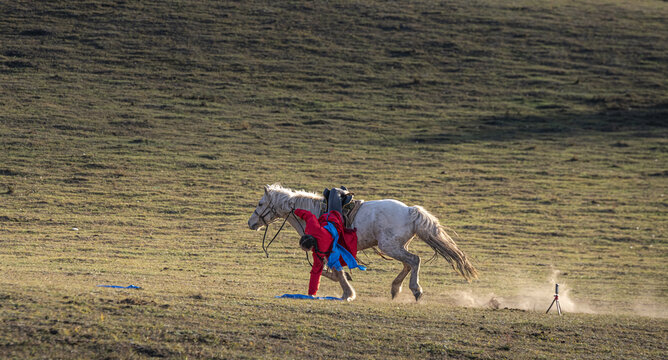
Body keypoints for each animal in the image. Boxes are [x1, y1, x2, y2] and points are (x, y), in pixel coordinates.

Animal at [248, 183, 478, 300]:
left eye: (260, 203)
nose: (251, 222)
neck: (312, 212)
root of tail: (411, 211)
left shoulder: (326, 247)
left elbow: (333, 270)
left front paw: (347, 293)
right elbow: (329, 270)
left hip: (390, 246)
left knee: (414, 261)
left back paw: (415, 290)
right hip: (396, 246)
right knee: (408, 263)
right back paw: (395, 289)